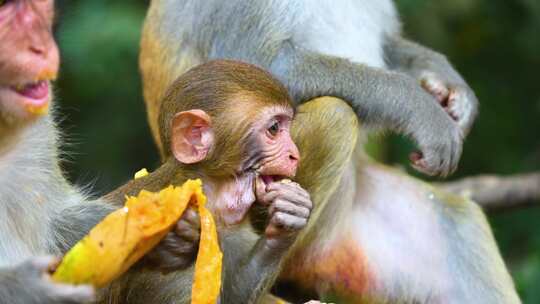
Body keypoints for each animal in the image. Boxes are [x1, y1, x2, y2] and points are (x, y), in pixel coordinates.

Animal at [138, 1, 520, 302]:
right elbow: (265, 69)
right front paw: (420, 107)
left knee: (459, 221)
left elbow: (390, 44)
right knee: (335, 114)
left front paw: (447, 83)